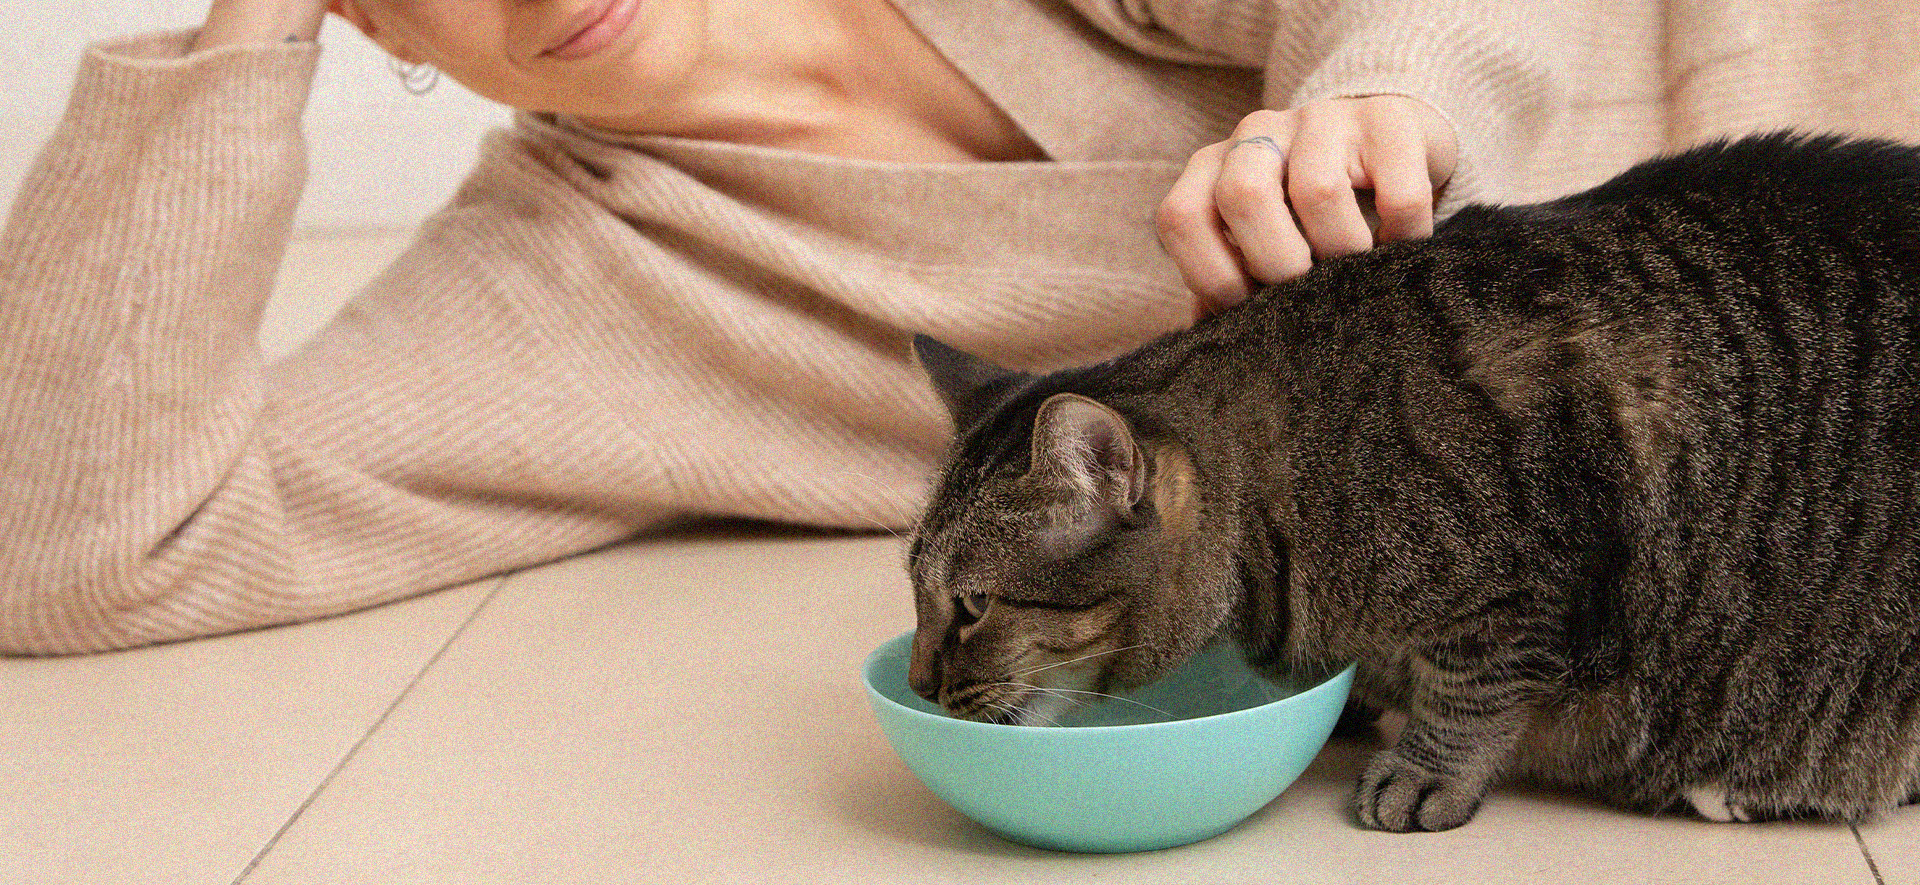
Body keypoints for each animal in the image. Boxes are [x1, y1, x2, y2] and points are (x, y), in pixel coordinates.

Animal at [898, 129, 1920, 829]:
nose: (915, 681)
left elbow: (1474, 692)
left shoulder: (1524, 587)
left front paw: (1426, 770)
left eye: (974, 605)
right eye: (916, 593)